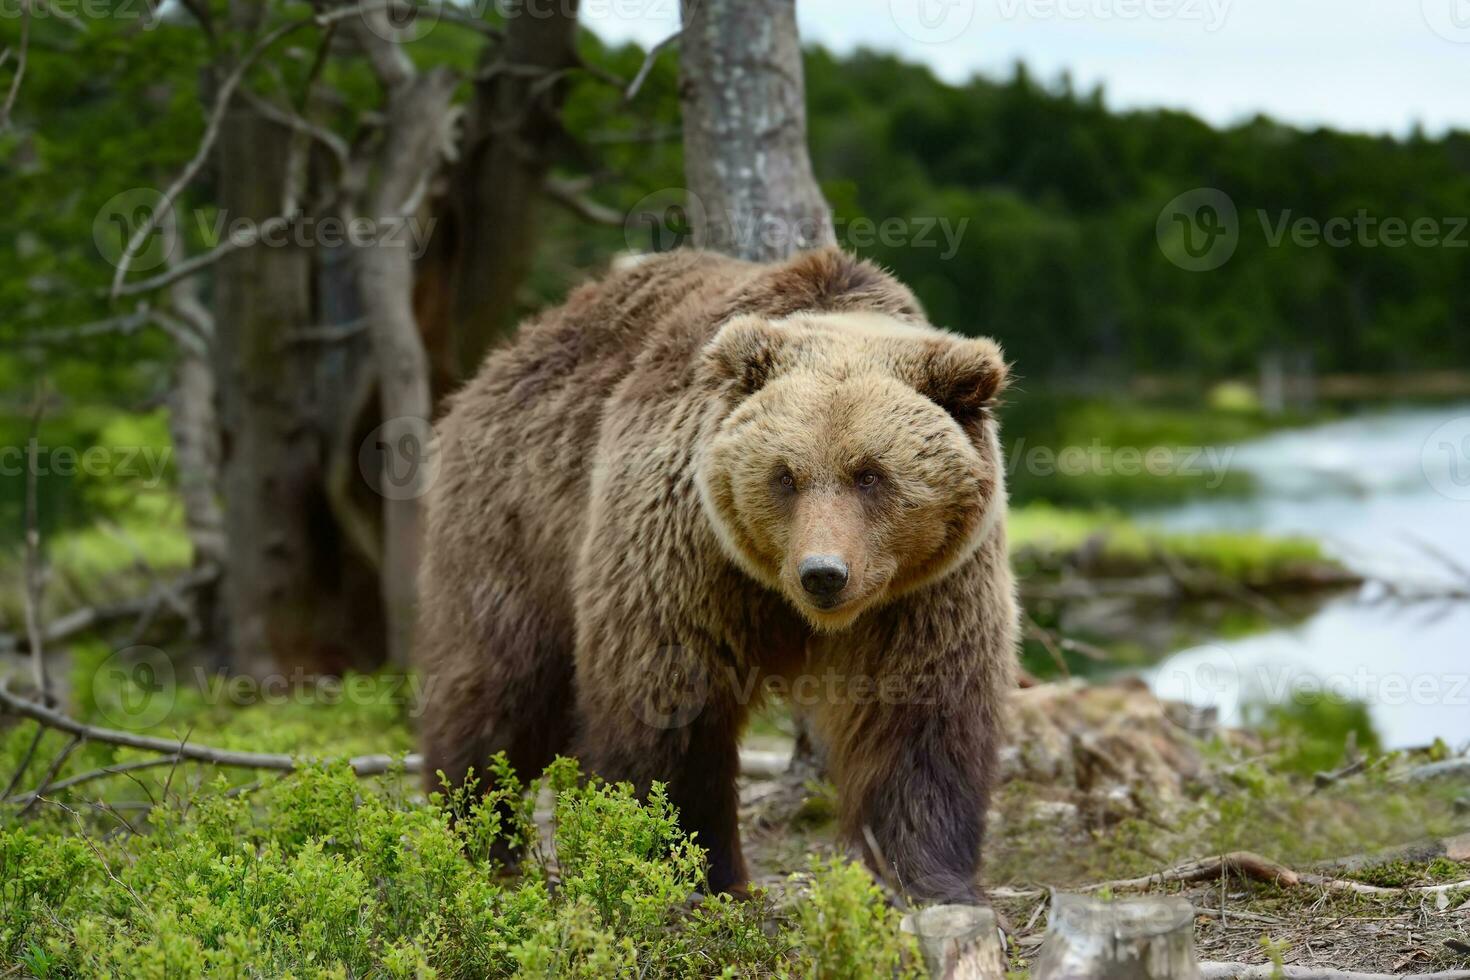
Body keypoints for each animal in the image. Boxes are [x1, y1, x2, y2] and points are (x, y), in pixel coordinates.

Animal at [414, 246, 1011, 905]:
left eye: (870, 474)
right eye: (785, 475)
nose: (823, 574)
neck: (784, 602)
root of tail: (502, 358)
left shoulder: (925, 588)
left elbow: (917, 718)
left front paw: (925, 879)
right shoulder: (689, 554)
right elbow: (672, 707)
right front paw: (690, 868)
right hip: (518, 521)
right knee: (500, 686)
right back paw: (473, 833)